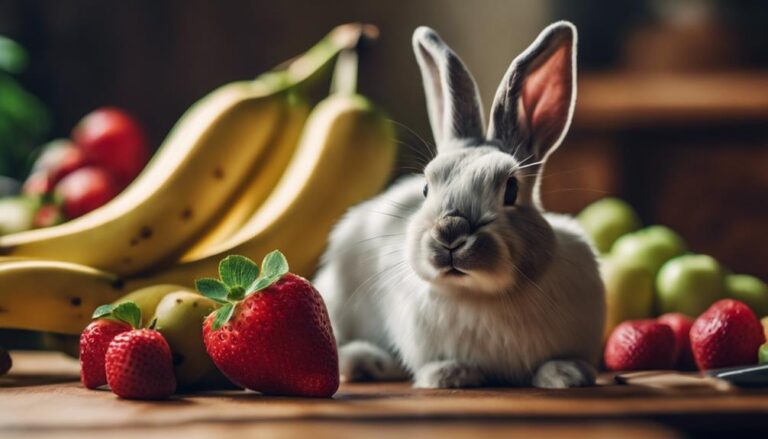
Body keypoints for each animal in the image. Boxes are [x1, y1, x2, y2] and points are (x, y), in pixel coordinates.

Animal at [313, 21, 605, 389]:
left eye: (511, 190)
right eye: (426, 188)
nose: (449, 232)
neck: (481, 295)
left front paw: (567, 374)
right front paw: (450, 375)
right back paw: (368, 362)